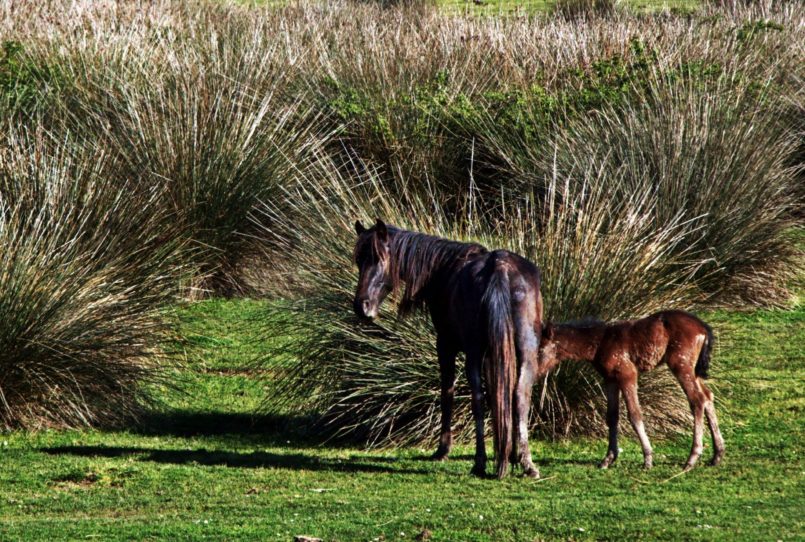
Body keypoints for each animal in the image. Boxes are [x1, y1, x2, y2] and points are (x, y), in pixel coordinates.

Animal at [350, 219, 540, 478]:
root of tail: (499, 266)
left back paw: (480, 462)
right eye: (359, 260)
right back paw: (526, 463)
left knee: (477, 397)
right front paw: (508, 453)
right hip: (524, 350)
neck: (444, 269)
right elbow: (500, 393)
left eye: (379, 258)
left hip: (473, 351)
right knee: (520, 394)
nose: (362, 307)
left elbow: (447, 392)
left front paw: (443, 449)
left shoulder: (445, 345)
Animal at [536, 312, 724, 474]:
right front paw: (608, 459)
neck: (600, 342)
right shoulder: (610, 379)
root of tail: (703, 328)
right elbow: (612, 417)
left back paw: (692, 458)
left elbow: (635, 414)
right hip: (693, 370)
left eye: (540, 350)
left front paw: (647, 458)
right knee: (708, 396)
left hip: (681, 365)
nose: (535, 372)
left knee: (697, 399)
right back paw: (717, 454)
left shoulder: (628, 375)